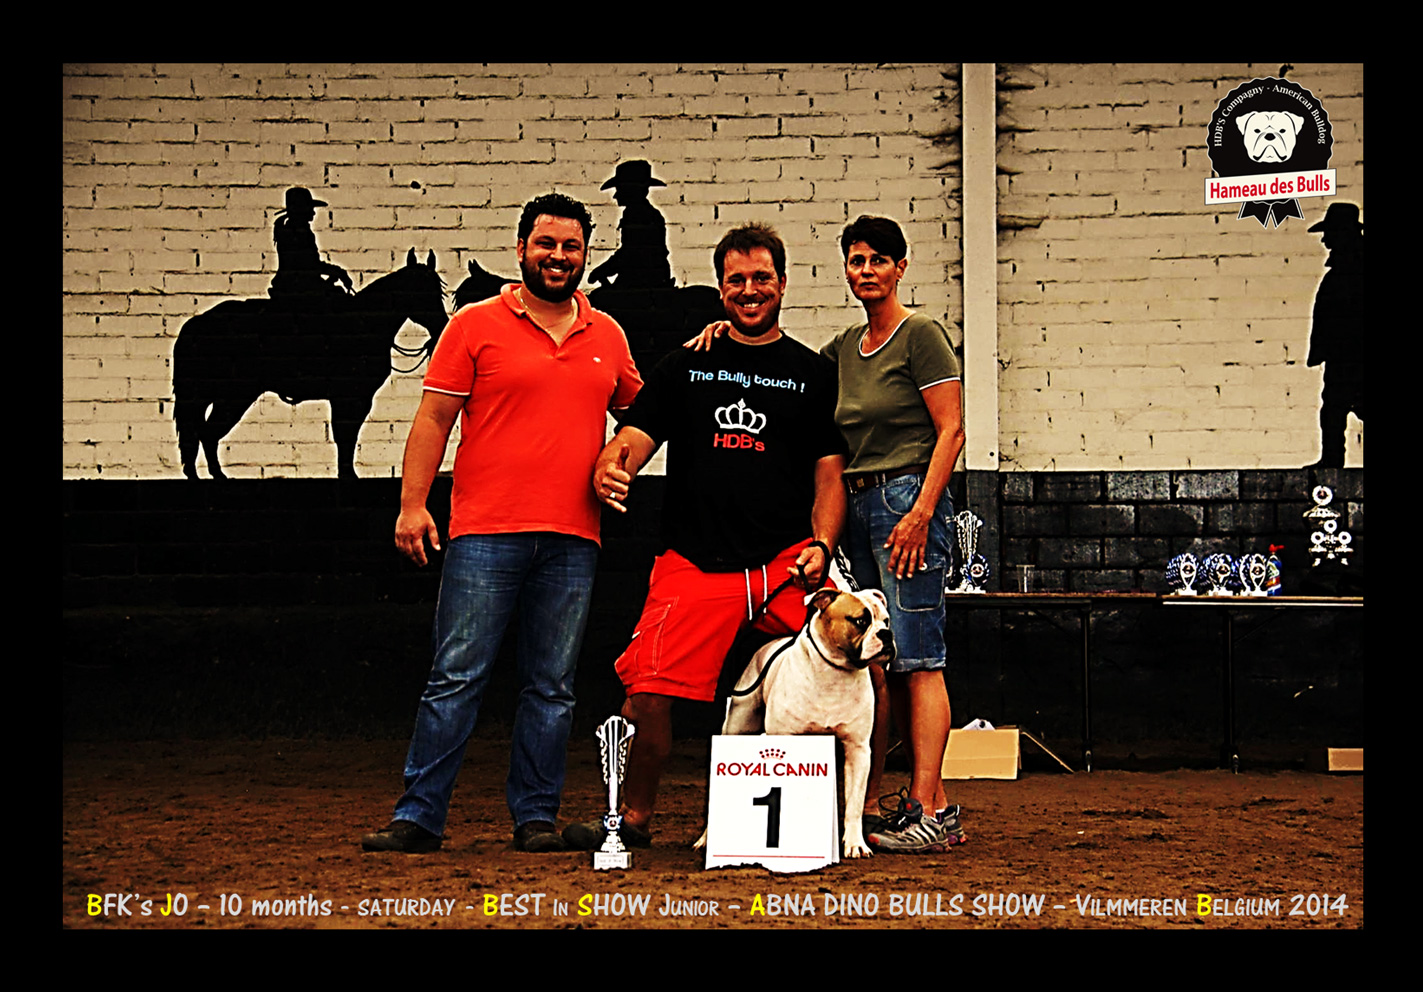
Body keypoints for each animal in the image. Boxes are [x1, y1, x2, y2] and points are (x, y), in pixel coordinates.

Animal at [173, 249, 448, 481]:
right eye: (420, 291)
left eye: (439, 290)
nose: (443, 326)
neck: (363, 324)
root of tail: (196, 324)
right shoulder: (348, 397)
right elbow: (344, 435)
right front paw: (347, 476)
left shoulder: (357, 398)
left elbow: (348, 435)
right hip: (232, 395)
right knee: (205, 432)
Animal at [695, 587, 894, 859]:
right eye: (861, 621)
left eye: (886, 621)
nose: (887, 634)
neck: (834, 672)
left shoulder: (858, 750)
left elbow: (854, 803)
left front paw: (855, 844)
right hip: (737, 730)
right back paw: (707, 839)